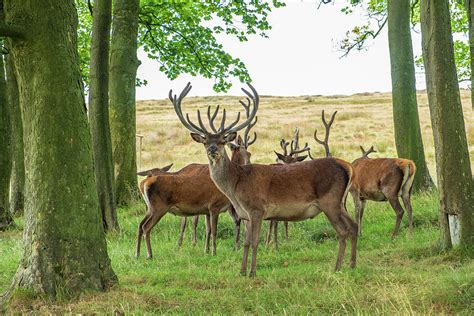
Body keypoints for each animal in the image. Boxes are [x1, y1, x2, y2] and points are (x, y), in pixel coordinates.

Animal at [135, 102, 258, 258]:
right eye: (205, 142)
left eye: (222, 141)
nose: (212, 150)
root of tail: (144, 182)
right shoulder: (214, 206)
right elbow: (214, 231)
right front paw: (214, 252)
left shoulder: (206, 209)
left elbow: (208, 229)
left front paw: (206, 250)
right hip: (159, 207)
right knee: (146, 227)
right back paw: (149, 254)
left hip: (150, 207)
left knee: (140, 225)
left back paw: (137, 254)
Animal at [168, 82, 358, 276]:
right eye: (205, 141)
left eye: (222, 141)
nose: (212, 149)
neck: (235, 185)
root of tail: (348, 167)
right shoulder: (244, 214)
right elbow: (245, 243)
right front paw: (242, 271)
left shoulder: (257, 209)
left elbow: (255, 241)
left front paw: (252, 272)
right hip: (339, 203)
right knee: (354, 226)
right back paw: (351, 264)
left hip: (330, 201)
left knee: (343, 231)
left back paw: (337, 267)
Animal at [310, 110, 412, 238]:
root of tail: (409, 164)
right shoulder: (363, 197)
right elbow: (361, 214)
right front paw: (360, 232)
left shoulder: (355, 191)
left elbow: (356, 213)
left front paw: (357, 234)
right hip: (407, 190)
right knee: (409, 208)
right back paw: (410, 233)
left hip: (390, 190)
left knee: (400, 211)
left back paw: (394, 235)